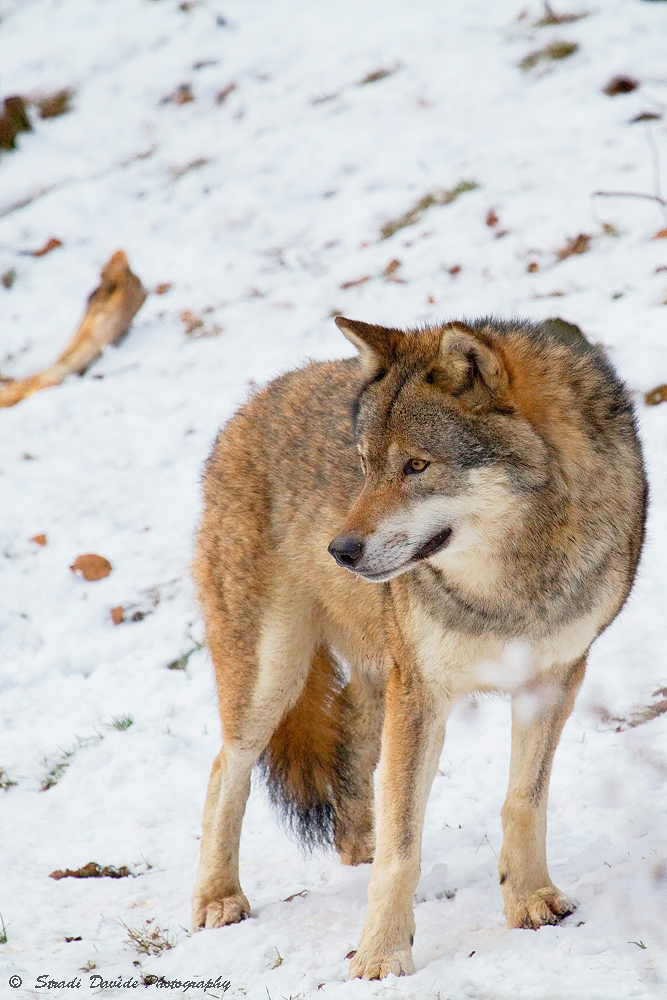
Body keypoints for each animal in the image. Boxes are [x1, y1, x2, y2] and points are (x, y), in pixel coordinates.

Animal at [191, 316, 646, 980]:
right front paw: (382, 954)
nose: (341, 551)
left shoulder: (554, 679)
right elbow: (404, 847)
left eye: (415, 465)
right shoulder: (424, 692)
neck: (512, 582)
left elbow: (523, 802)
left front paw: (530, 899)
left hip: (376, 676)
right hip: (273, 678)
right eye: (364, 466)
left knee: (346, 727)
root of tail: (247, 407)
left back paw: (355, 844)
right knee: (226, 768)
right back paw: (218, 897)